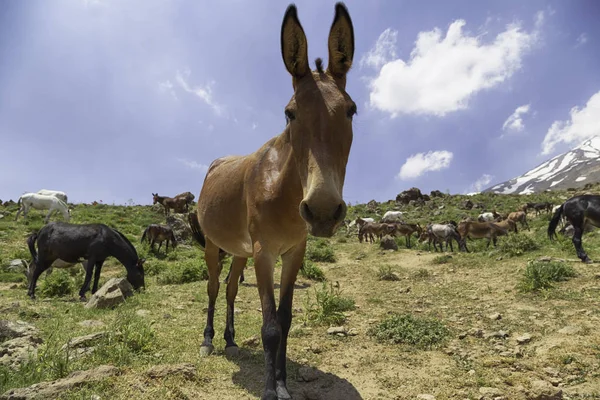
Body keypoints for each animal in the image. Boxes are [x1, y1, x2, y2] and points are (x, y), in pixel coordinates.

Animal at [190, 3, 354, 400]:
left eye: (351, 110)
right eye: (289, 112)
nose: (322, 210)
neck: (281, 188)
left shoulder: (293, 252)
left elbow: (286, 319)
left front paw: (282, 382)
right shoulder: (264, 253)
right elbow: (269, 327)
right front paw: (269, 390)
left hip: (239, 251)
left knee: (231, 289)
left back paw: (231, 340)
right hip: (214, 246)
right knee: (214, 288)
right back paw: (208, 340)